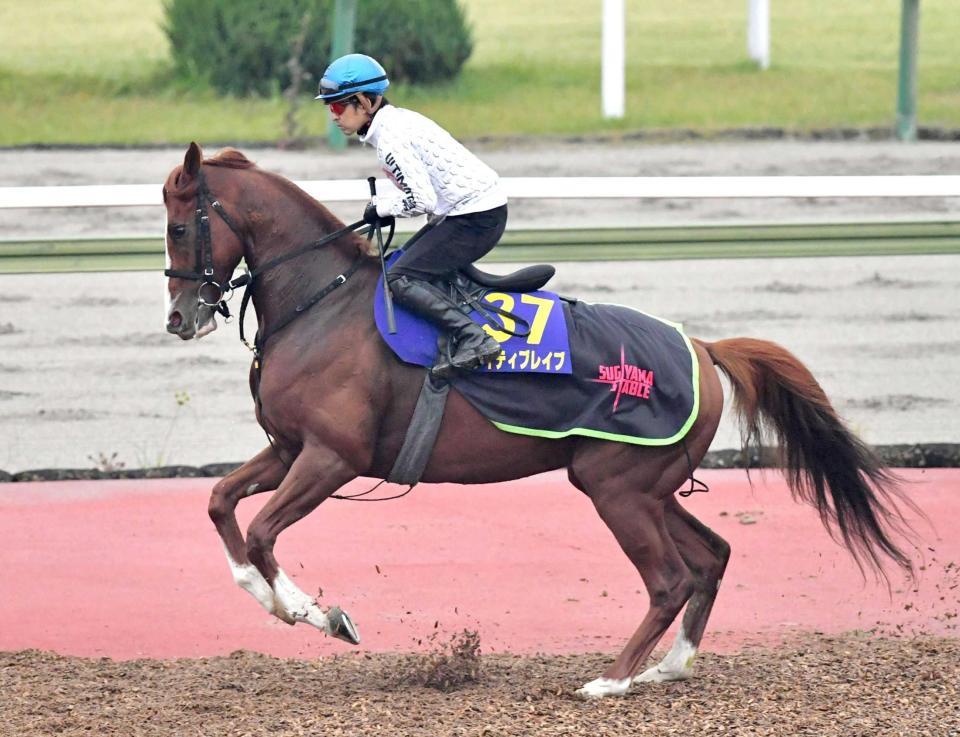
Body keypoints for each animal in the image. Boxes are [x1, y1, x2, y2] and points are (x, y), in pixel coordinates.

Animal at [161, 142, 912, 696]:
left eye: (177, 225)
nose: (179, 319)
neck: (322, 302)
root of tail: (703, 346)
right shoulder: (291, 448)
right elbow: (221, 504)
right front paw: (279, 601)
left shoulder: (331, 456)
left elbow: (261, 531)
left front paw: (319, 613)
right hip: (644, 485)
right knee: (712, 556)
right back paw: (669, 666)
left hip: (618, 487)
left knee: (670, 578)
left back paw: (613, 680)